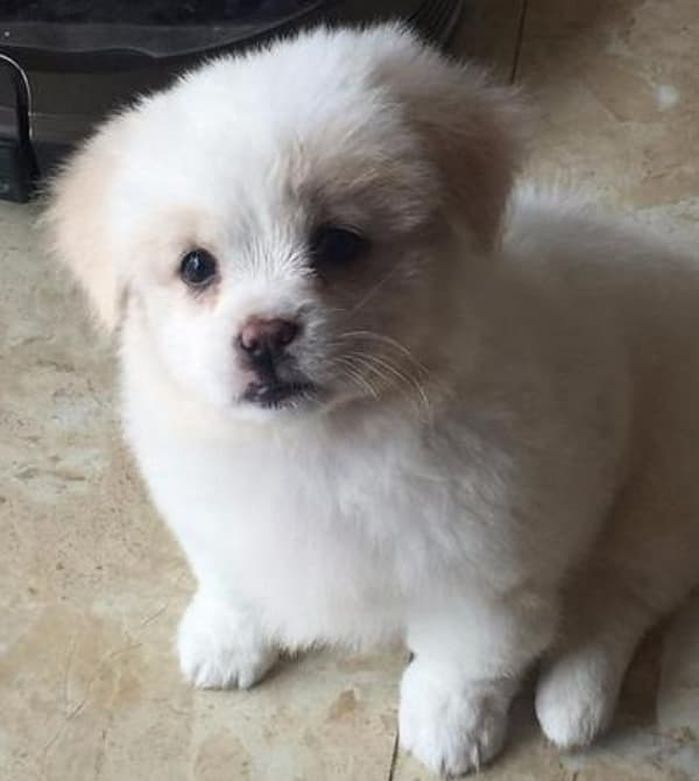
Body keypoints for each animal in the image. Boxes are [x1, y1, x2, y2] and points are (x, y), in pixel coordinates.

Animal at [45, 24, 699, 776]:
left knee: (617, 601)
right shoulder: (212, 512)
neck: (323, 439)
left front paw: (449, 726)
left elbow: (464, 658)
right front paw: (225, 637)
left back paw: (573, 704)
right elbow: (230, 574)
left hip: (658, 497)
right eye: (196, 266)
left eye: (337, 243)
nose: (263, 335)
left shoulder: (488, 569)